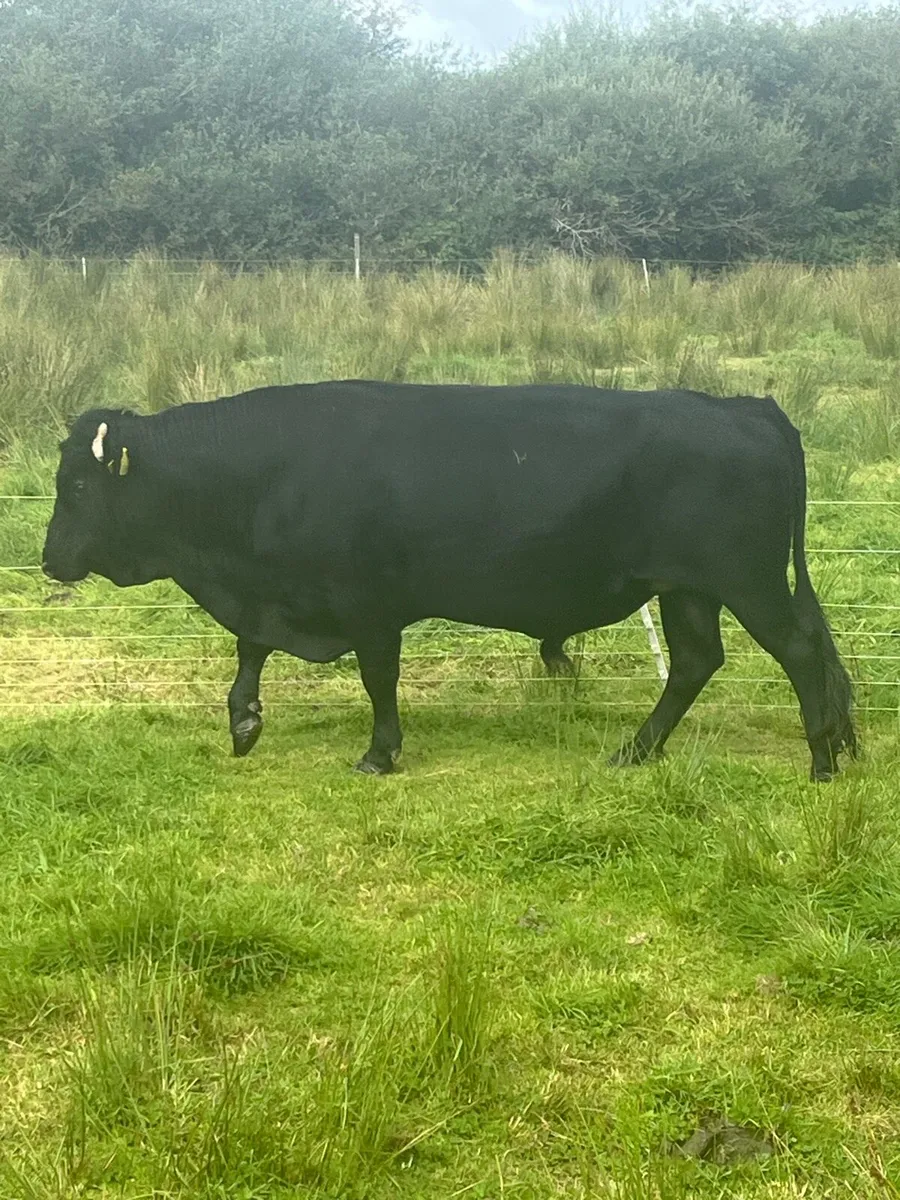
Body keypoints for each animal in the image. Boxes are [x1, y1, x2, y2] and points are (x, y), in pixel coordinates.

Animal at [42, 381, 857, 781]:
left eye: (78, 487)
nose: (49, 560)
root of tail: (744, 406)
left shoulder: (368, 604)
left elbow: (377, 679)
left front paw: (379, 754)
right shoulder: (276, 593)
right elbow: (250, 649)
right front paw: (244, 722)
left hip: (745, 580)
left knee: (799, 651)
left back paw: (821, 758)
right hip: (688, 587)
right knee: (696, 663)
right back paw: (637, 751)